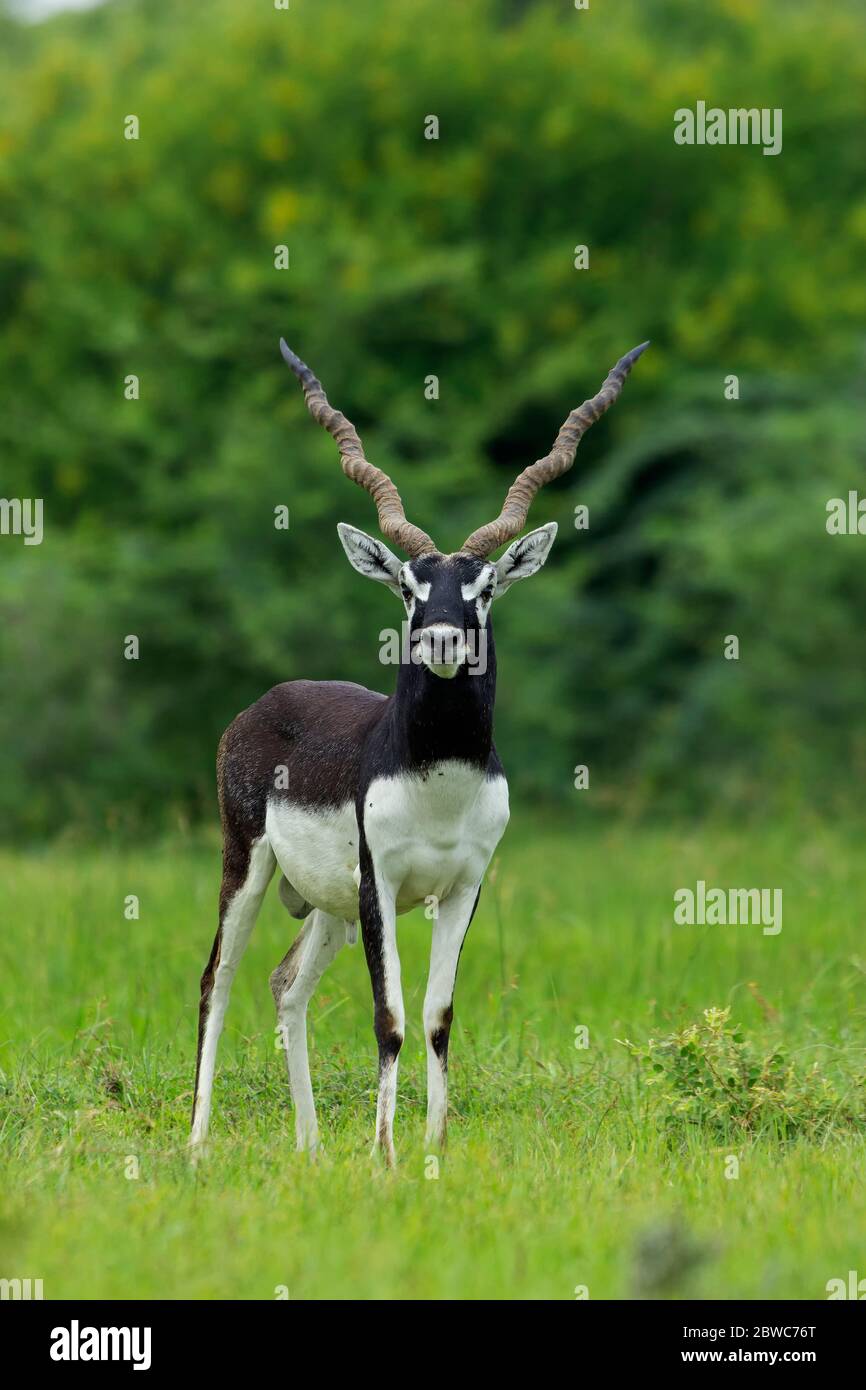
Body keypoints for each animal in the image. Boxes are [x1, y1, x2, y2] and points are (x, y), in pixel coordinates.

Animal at [191, 333, 650, 1162]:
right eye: (408, 585)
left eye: (485, 587)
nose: (439, 638)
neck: (439, 782)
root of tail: (264, 704)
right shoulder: (382, 882)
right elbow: (390, 1019)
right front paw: (386, 1154)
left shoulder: (464, 885)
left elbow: (437, 1018)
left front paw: (434, 1147)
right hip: (248, 863)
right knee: (218, 978)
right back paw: (198, 1144)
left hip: (327, 906)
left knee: (285, 983)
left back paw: (309, 1147)